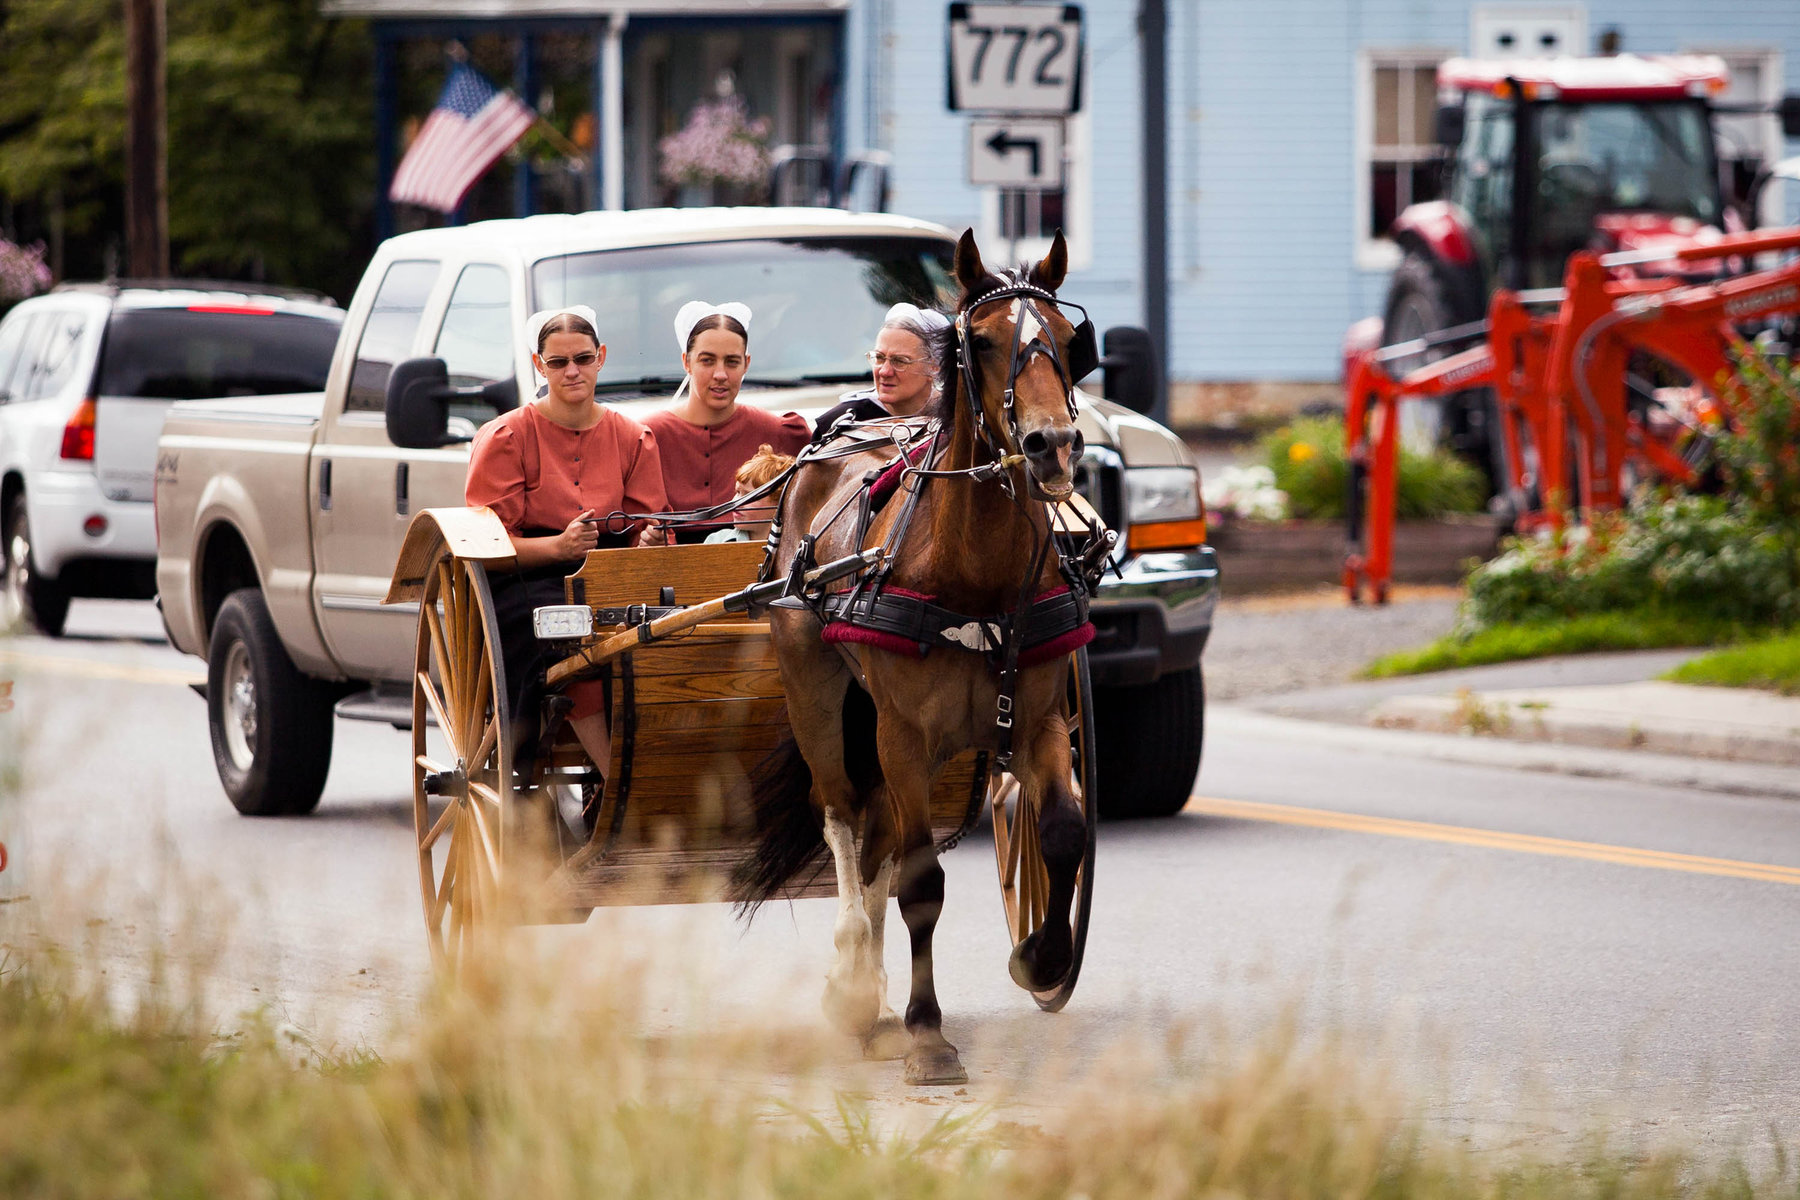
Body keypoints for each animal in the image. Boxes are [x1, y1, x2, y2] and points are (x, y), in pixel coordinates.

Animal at [734, 227, 1094, 1086]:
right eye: (982, 340)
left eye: (1069, 341)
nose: (1052, 446)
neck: (976, 573)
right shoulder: (903, 735)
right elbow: (922, 881)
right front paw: (928, 1035)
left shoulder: (1038, 720)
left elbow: (1061, 832)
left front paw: (1040, 958)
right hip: (818, 694)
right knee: (841, 818)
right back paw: (852, 987)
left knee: (877, 841)